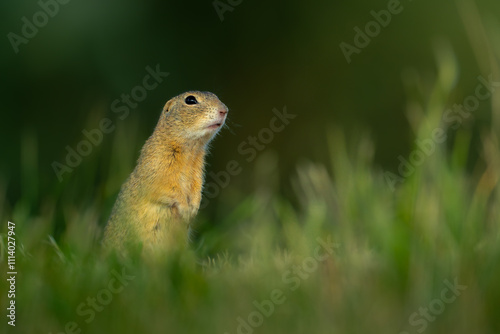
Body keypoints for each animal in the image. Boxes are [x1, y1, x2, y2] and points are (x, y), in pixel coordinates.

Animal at [103, 90, 229, 252]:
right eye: (190, 100)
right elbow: (168, 189)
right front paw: (185, 209)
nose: (224, 110)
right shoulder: (159, 166)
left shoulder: (198, 172)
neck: (190, 149)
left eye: (216, 96)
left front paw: (194, 209)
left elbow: (197, 189)